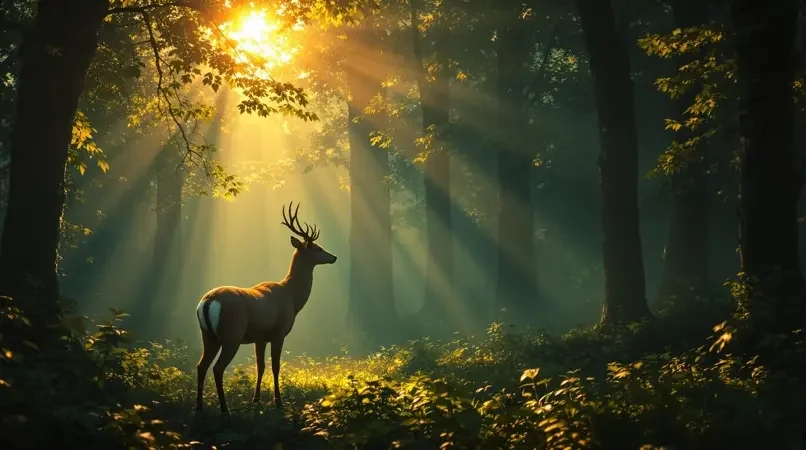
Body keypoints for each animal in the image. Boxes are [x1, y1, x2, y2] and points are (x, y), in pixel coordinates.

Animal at [194, 201, 337, 416]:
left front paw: (256, 400)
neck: (292, 297)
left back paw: (199, 409)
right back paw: (225, 411)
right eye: (318, 249)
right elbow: (275, 366)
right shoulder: (279, 332)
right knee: (217, 368)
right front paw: (278, 402)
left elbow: (260, 366)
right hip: (231, 334)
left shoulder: (259, 337)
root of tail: (208, 302)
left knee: (201, 366)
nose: (334, 257)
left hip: (208, 335)